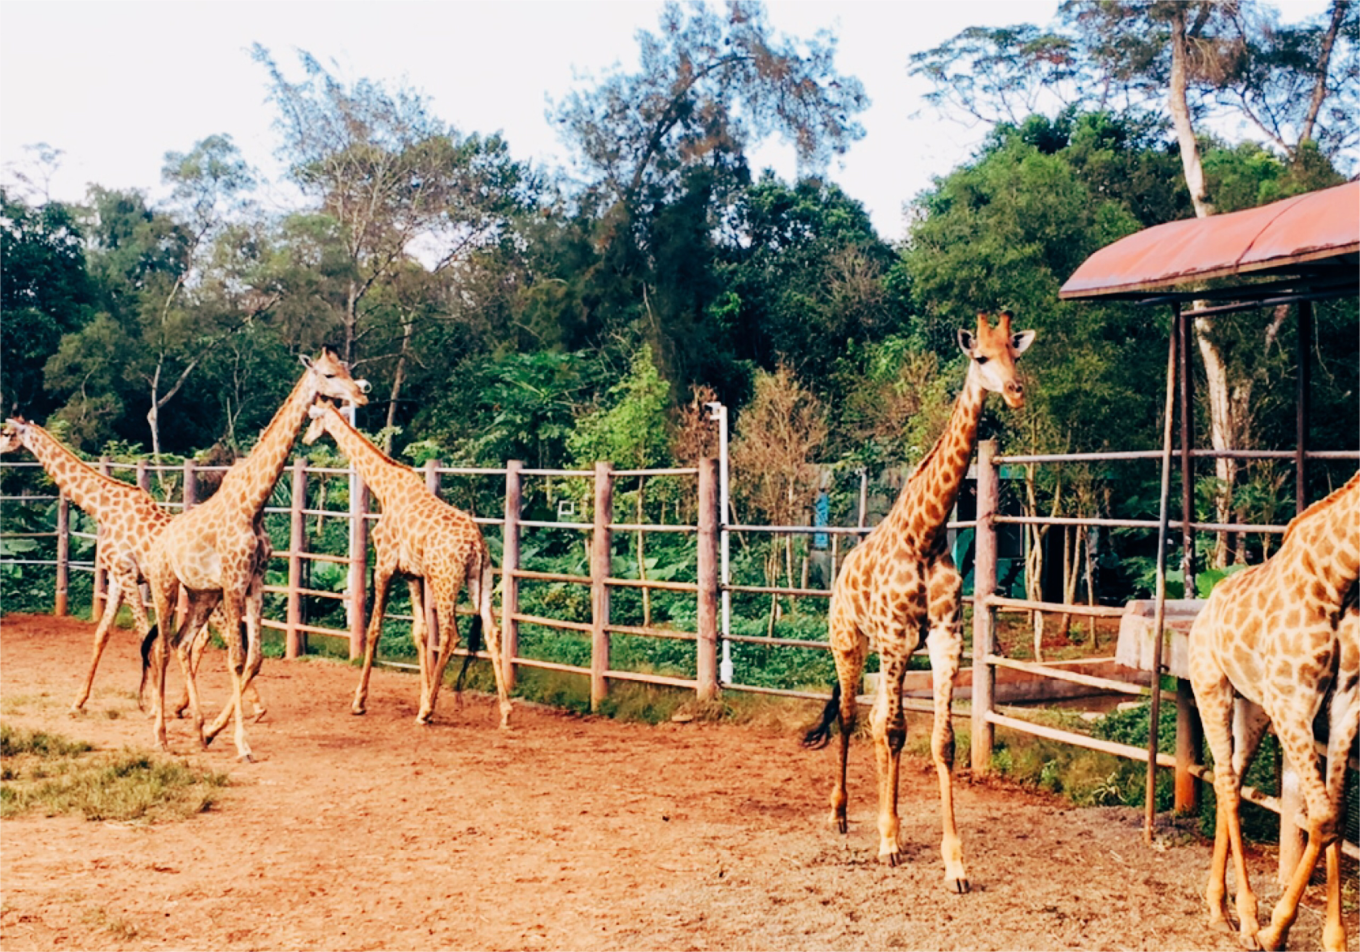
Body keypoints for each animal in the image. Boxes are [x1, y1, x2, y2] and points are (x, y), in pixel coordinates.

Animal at [0, 417, 265, 717]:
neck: (103, 508)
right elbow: (102, 633)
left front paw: (152, 704)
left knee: (217, 636)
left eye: (6, 433)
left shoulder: (126, 574)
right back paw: (194, 705)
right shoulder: (117, 578)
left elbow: (143, 635)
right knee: (209, 636)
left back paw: (244, 706)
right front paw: (78, 701)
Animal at [144, 349, 368, 761]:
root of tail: (159, 540)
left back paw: (197, 728)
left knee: (183, 645)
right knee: (163, 649)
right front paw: (242, 744)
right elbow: (235, 660)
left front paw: (213, 731)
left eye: (348, 369)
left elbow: (255, 659)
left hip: (202, 594)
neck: (255, 504)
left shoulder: (255, 582)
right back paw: (162, 736)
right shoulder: (233, 582)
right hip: (165, 584)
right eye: (329, 374)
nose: (361, 396)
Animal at [302, 401, 512, 728]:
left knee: (451, 634)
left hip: (445, 579)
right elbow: (421, 632)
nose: (305, 439)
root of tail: (477, 544)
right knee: (492, 630)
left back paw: (427, 713)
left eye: (314, 418)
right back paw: (504, 712)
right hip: (482, 578)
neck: (384, 487)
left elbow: (374, 628)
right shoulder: (413, 575)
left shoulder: (384, 566)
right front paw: (422, 696)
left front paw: (359, 702)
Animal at [803, 312, 1035, 893]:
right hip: (850, 643)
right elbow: (896, 730)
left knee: (873, 722)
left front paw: (954, 864)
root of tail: (840, 570)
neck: (926, 532)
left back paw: (890, 823)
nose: (1016, 393)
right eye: (981, 357)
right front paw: (887, 842)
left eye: (1016, 352)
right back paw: (842, 814)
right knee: (851, 716)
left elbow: (940, 740)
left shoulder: (944, 638)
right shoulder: (896, 639)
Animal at [1188, 468, 1360, 952]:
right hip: (1212, 687)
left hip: (1254, 707)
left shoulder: (1346, 702)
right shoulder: (1292, 700)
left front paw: (1335, 939)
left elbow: (1336, 814)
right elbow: (1321, 815)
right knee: (1228, 783)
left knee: (1231, 777)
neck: (1340, 578)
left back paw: (1219, 906)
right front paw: (1275, 930)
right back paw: (1246, 918)